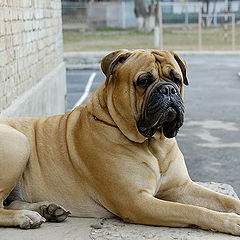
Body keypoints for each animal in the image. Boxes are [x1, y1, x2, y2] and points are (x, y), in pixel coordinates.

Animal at [0, 49, 240, 235]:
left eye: (177, 79)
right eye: (143, 81)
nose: (168, 89)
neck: (154, 144)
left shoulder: (181, 187)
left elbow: (224, 200)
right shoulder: (137, 202)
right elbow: (193, 211)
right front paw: (231, 221)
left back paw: (47, 209)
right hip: (19, 143)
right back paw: (25, 216)